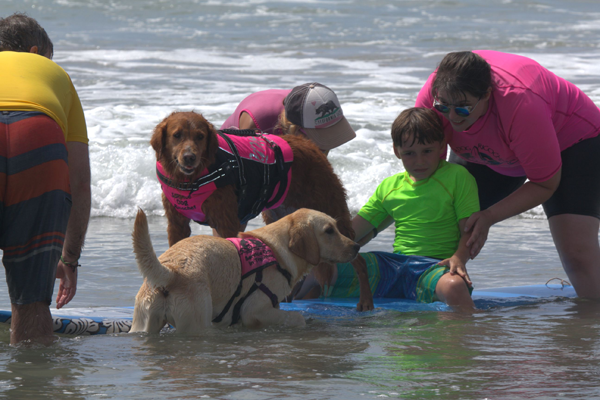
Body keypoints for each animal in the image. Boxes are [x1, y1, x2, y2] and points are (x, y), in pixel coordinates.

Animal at [131, 208, 358, 332]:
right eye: (329, 231)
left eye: (336, 227)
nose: (356, 247)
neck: (278, 250)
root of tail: (171, 271)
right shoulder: (254, 309)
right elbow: (296, 317)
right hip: (197, 324)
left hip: (142, 325)